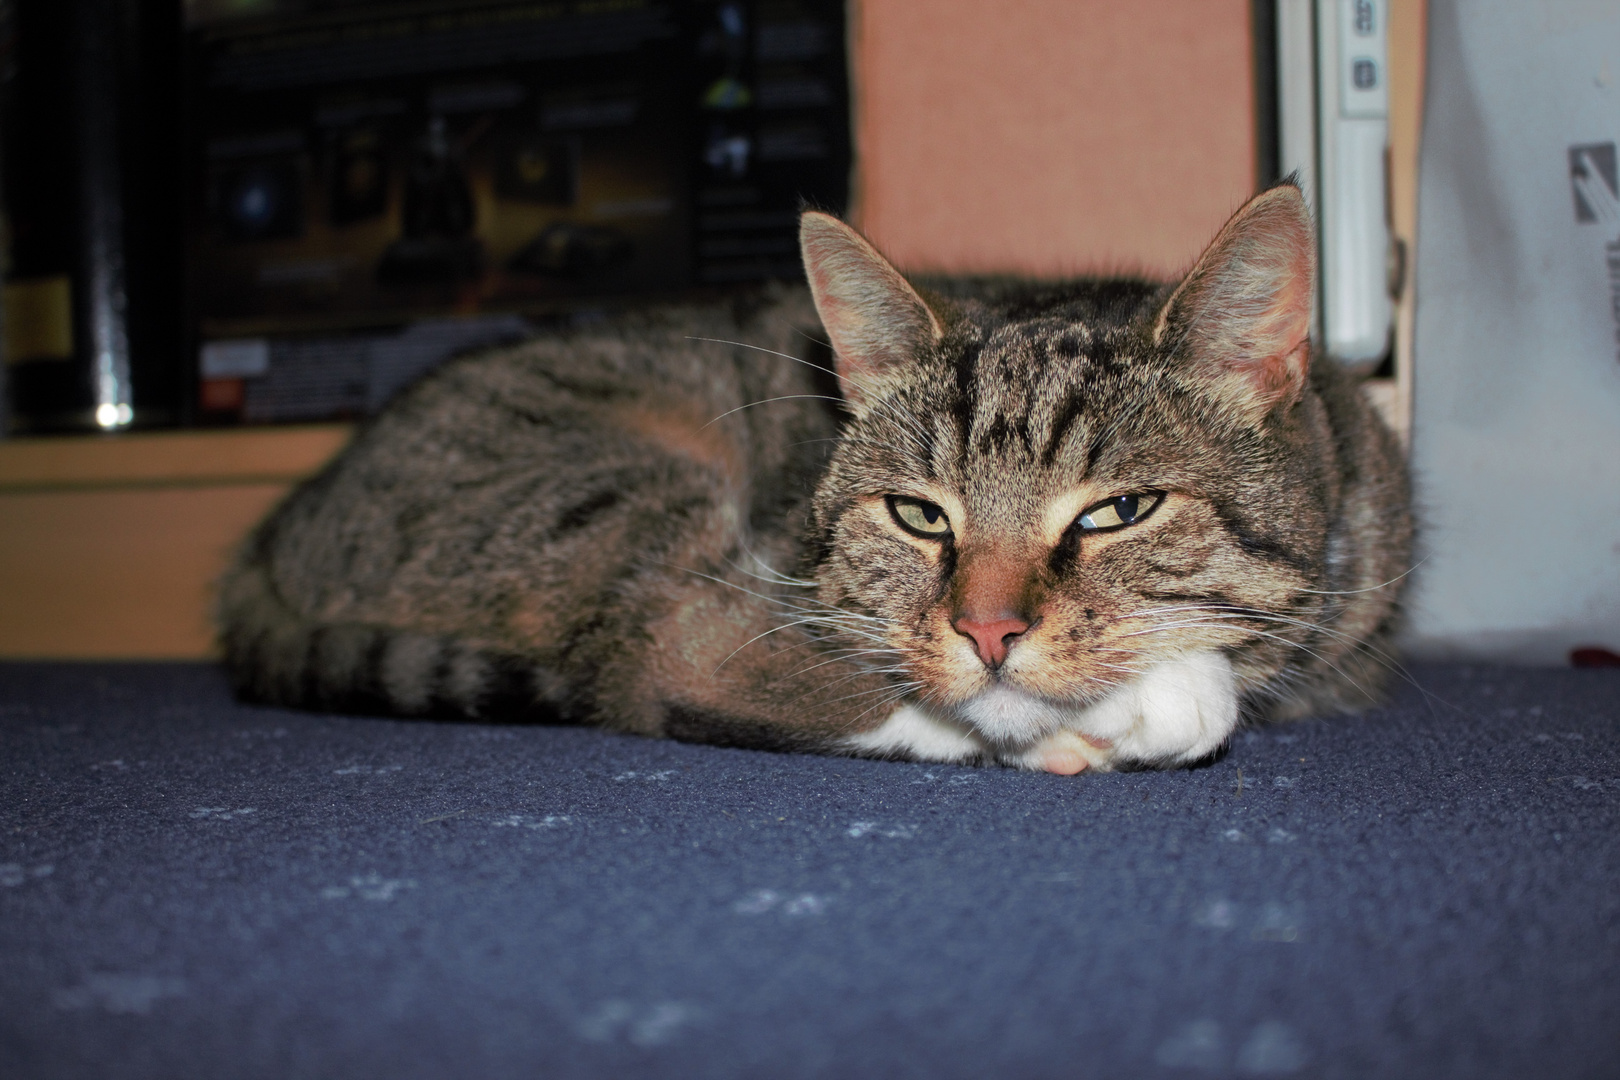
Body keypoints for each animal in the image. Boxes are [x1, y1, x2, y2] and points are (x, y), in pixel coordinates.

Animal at [221, 187, 1412, 777]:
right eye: (919, 515)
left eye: (1123, 509)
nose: (986, 632)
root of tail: (277, 533)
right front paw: (1150, 699)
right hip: (605, 476)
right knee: (674, 652)